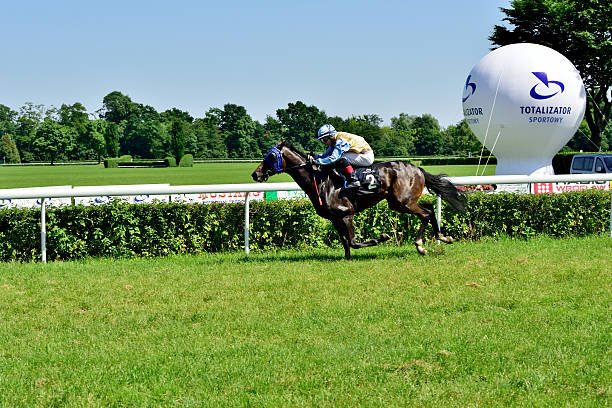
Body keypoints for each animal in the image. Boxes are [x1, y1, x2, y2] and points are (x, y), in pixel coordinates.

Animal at [251, 142, 466, 260]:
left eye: (270, 156)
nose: (255, 174)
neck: (321, 181)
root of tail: (417, 168)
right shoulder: (335, 218)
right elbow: (345, 241)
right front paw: (346, 259)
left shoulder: (347, 214)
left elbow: (353, 241)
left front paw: (381, 237)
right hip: (400, 202)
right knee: (428, 209)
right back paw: (436, 239)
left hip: (402, 202)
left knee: (427, 213)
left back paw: (427, 243)